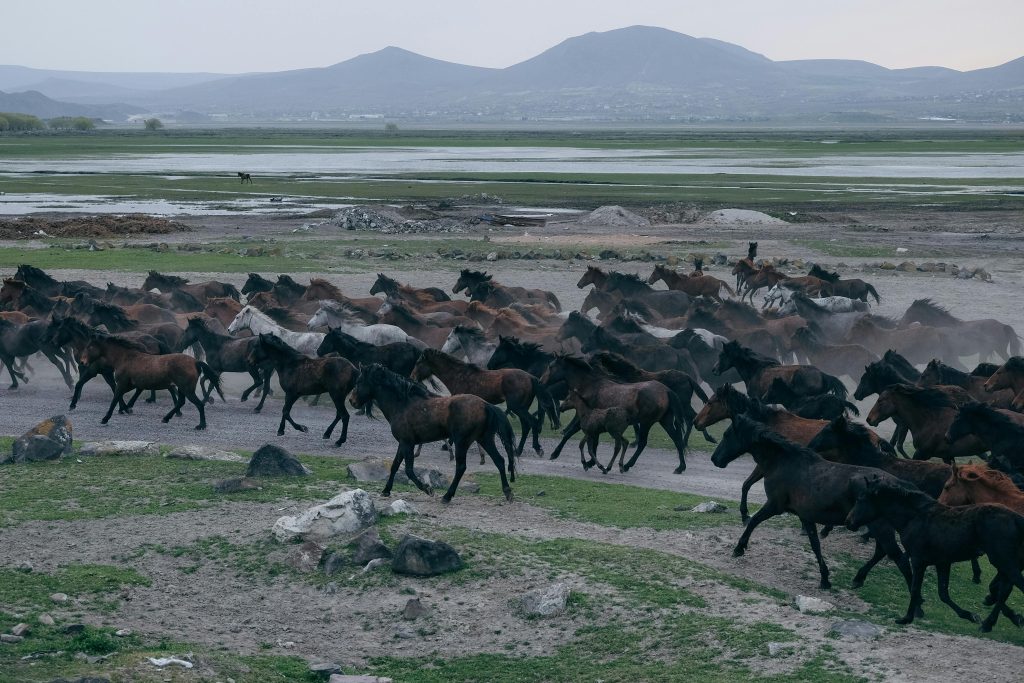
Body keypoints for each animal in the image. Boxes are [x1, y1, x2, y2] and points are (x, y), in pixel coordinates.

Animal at [80, 333, 221, 430]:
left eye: (90, 346)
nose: (82, 362)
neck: (125, 358)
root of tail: (195, 362)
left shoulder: (122, 383)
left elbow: (115, 398)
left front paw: (105, 419)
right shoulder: (129, 385)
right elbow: (120, 397)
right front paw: (125, 409)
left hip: (187, 389)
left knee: (199, 404)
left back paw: (201, 425)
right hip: (183, 389)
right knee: (181, 402)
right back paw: (166, 418)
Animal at [350, 363, 517, 503]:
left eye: (359, 381)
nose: (352, 401)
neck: (403, 404)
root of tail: (486, 405)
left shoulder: (408, 443)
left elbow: (408, 470)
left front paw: (427, 489)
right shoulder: (403, 443)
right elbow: (395, 465)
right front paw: (386, 491)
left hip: (462, 443)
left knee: (461, 467)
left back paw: (447, 496)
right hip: (485, 439)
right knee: (499, 460)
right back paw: (507, 492)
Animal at [410, 349, 557, 458]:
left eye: (418, 362)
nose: (412, 377)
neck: (459, 376)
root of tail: (531, 377)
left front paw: (447, 445)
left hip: (517, 407)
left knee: (533, 423)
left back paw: (536, 449)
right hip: (521, 408)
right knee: (526, 426)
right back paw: (519, 450)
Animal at [711, 415, 912, 592]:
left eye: (727, 435)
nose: (715, 459)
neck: (784, 462)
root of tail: (898, 484)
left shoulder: (774, 506)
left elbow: (753, 521)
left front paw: (739, 548)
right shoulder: (806, 517)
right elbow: (815, 545)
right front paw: (825, 579)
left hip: (880, 528)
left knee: (899, 559)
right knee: (882, 552)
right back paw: (858, 579)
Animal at [846, 475, 1024, 632]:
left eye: (860, 499)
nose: (849, 522)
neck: (914, 518)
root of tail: (1016, 519)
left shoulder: (918, 561)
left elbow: (915, 589)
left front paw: (906, 618)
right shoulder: (942, 562)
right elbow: (943, 593)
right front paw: (970, 615)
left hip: (1004, 562)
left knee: (1009, 587)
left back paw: (991, 623)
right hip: (1006, 563)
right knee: (1005, 589)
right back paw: (993, 622)